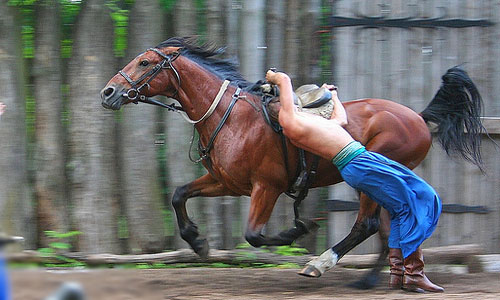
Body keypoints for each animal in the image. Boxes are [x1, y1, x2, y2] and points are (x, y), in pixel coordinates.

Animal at [100, 37, 484, 288]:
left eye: (145, 63)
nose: (108, 93)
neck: (233, 118)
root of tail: (418, 118)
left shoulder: (266, 187)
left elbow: (254, 235)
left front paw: (296, 231)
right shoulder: (226, 182)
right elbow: (179, 194)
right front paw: (197, 241)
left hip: (369, 180)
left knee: (367, 225)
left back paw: (323, 265)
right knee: (386, 228)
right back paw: (375, 277)